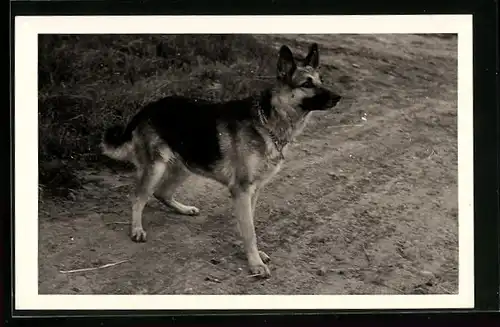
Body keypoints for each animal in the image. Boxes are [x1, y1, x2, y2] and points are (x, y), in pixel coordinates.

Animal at [102, 42, 344, 278]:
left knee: (162, 193)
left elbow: (248, 224)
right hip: (156, 168)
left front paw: (252, 254)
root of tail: (146, 108)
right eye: (307, 83)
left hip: (185, 165)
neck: (267, 121)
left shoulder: (254, 190)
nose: (339, 97)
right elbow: (249, 230)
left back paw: (183, 209)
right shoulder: (242, 190)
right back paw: (136, 229)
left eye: (321, 81)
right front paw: (255, 263)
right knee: (138, 197)